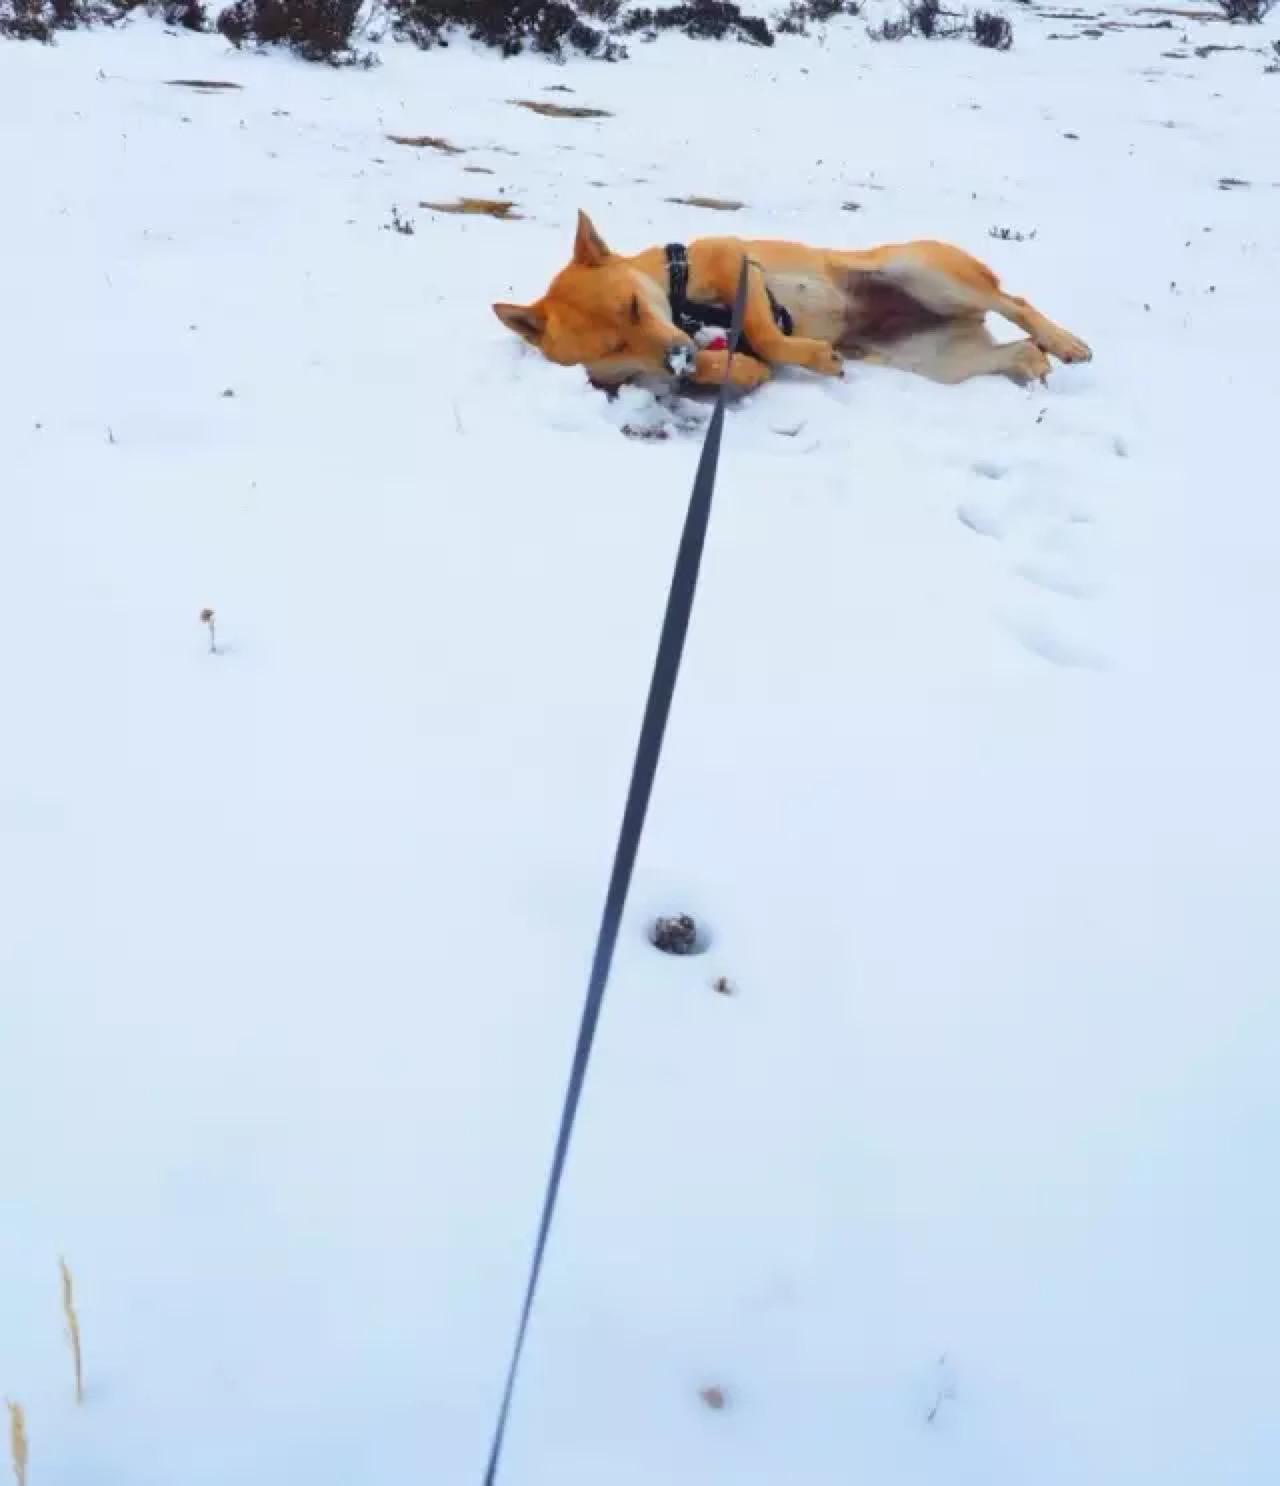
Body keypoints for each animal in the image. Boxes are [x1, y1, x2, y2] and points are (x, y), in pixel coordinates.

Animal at [493, 210, 1092, 393]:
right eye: (615, 345)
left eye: (634, 309)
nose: (678, 357)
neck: (674, 291)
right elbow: (731, 361)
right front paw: (727, 368)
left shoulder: (738, 265)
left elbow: (764, 332)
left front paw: (806, 356)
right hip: (937, 362)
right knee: (1011, 350)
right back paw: (1033, 361)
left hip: (922, 270)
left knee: (1015, 301)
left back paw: (1064, 342)